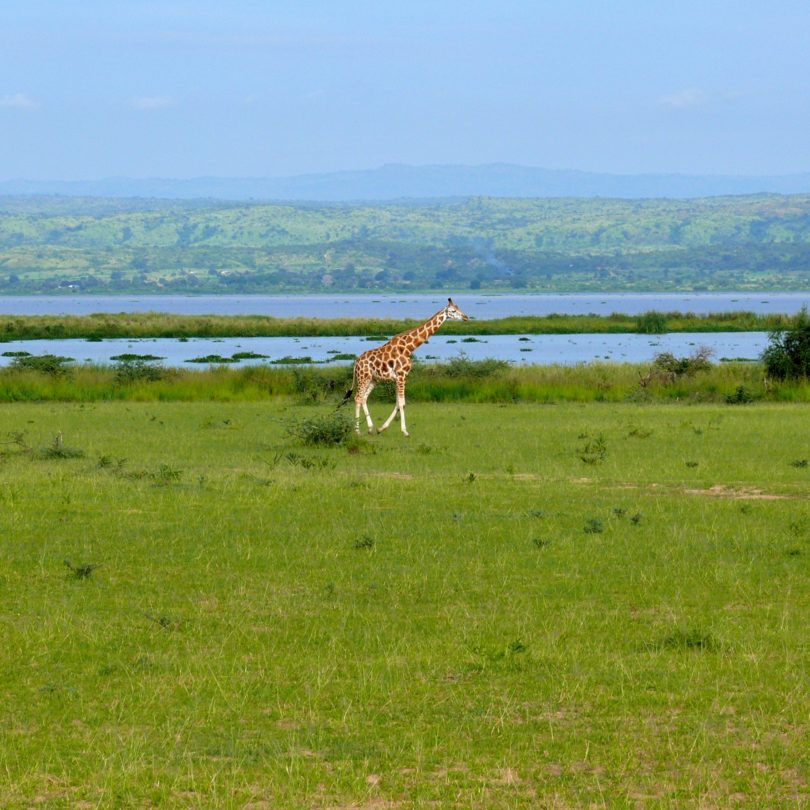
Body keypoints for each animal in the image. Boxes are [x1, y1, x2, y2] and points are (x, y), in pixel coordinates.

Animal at [340, 296, 468, 436]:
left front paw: (382, 428)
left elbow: (397, 403)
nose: (466, 317)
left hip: (373, 379)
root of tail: (356, 363)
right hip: (363, 377)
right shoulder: (401, 375)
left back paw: (370, 428)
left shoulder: (399, 377)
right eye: (453, 311)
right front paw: (405, 431)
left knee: (363, 398)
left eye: (459, 307)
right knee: (357, 398)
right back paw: (357, 431)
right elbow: (402, 403)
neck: (409, 348)